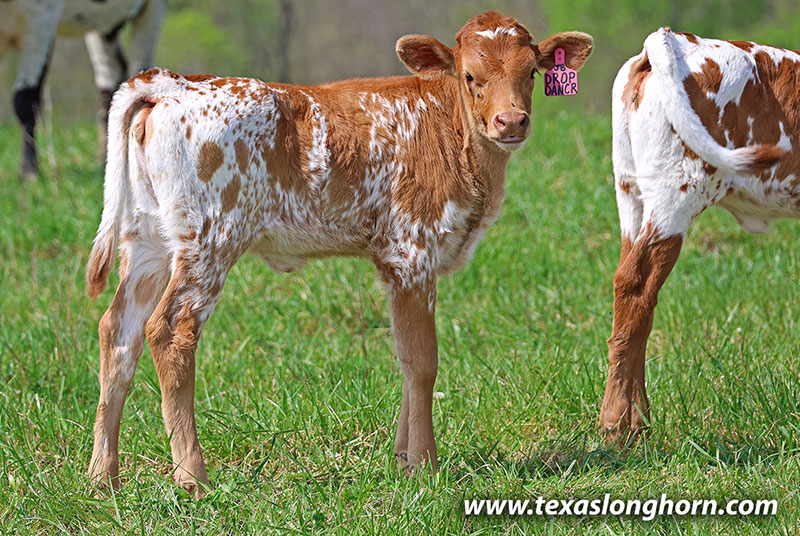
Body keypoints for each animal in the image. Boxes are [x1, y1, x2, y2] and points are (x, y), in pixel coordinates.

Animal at [1, 0, 167, 179]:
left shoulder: (42, 21)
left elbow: (24, 100)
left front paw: (28, 171)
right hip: (104, 25)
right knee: (111, 77)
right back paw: (104, 156)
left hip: (153, 9)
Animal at [84, 11, 593, 495]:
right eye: (470, 75)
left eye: (531, 72)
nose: (511, 122)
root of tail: (174, 83)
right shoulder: (413, 252)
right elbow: (424, 361)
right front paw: (426, 467)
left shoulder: (394, 263)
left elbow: (405, 357)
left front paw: (403, 462)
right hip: (210, 241)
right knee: (170, 331)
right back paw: (193, 477)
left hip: (148, 240)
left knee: (118, 331)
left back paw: (101, 477)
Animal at [603, 28, 793, 440]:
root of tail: (675, 38)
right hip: (677, 195)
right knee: (636, 288)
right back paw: (618, 425)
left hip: (632, 193)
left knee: (635, 299)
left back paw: (637, 421)